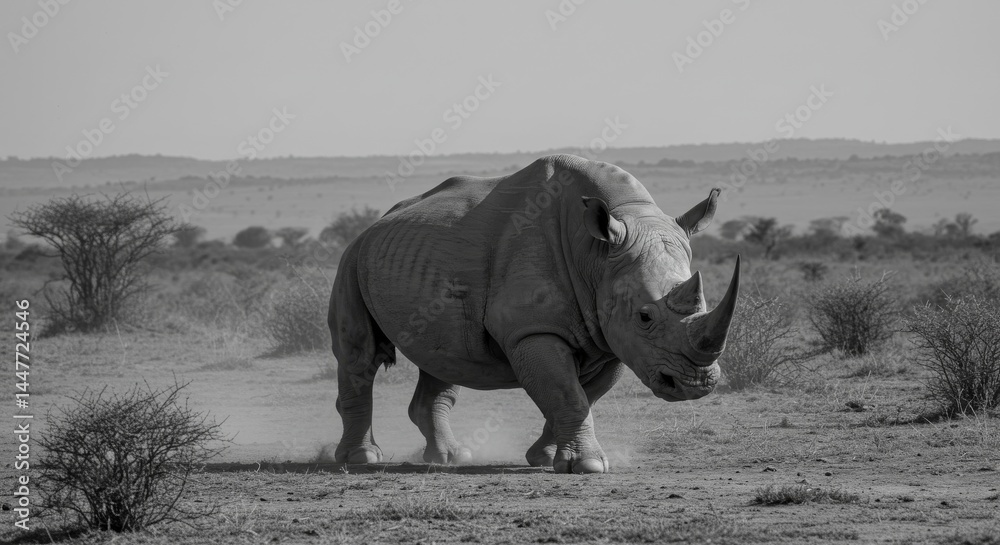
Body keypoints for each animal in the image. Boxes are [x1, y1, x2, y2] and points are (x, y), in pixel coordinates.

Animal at [328, 154, 740, 474]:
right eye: (644, 317)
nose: (696, 384)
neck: (597, 254)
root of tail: (376, 222)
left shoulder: (612, 336)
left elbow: (582, 395)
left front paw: (545, 458)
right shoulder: (533, 330)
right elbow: (567, 392)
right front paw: (588, 466)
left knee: (442, 358)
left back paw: (450, 457)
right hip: (352, 258)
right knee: (359, 356)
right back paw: (361, 459)